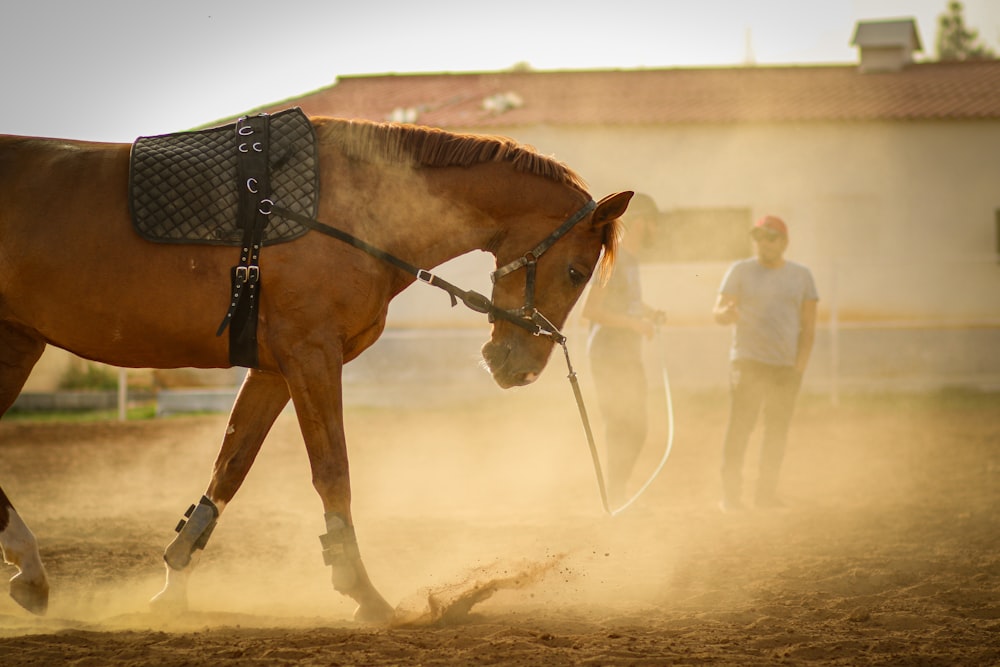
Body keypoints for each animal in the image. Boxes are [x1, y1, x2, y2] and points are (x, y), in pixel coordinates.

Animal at [0, 117, 628, 624]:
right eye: (576, 272)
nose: (519, 368)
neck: (352, 208)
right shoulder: (311, 356)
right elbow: (333, 471)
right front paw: (363, 594)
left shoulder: (276, 370)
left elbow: (230, 468)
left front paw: (174, 582)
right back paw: (29, 568)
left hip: (18, 342)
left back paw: (29, 572)